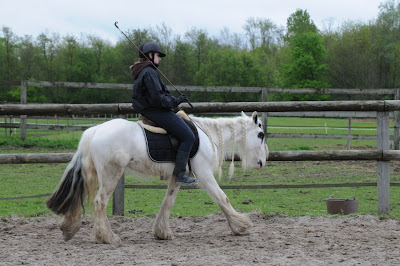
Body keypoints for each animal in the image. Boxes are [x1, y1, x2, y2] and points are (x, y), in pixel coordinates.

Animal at [47, 110, 268, 245]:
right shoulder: (204, 175)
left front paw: (162, 232)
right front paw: (241, 226)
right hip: (111, 174)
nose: (262, 163)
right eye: (260, 135)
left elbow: (167, 202)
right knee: (99, 202)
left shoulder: (177, 176)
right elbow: (223, 198)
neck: (206, 136)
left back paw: (71, 228)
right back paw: (108, 237)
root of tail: (95, 130)